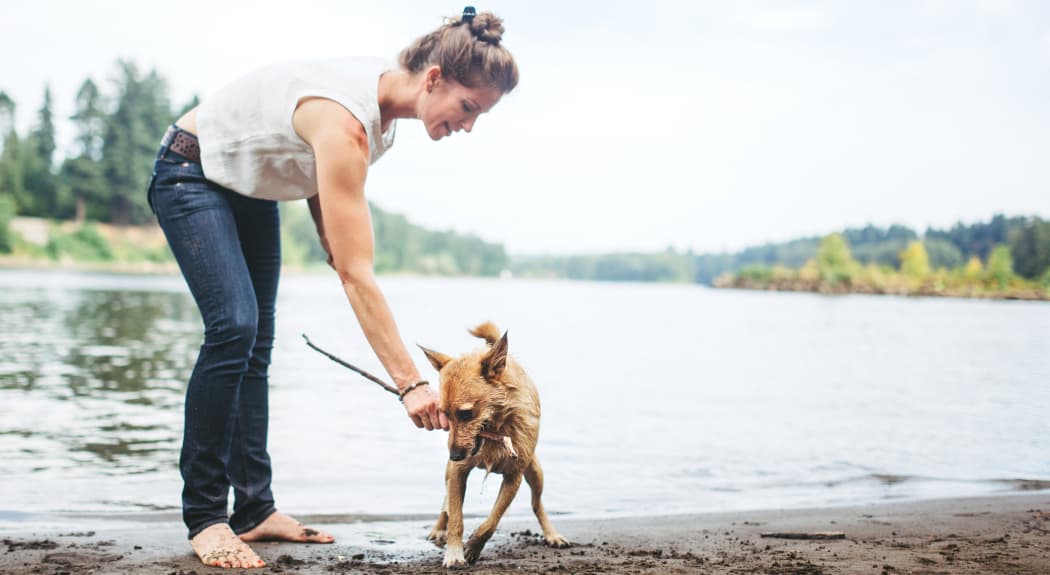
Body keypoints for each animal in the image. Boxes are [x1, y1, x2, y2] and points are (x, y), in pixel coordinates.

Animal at [417, 321, 571, 566]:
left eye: (466, 414)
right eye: (444, 414)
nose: (454, 455)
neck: (496, 431)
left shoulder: (513, 477)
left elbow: (492, 521)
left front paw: (473, 546)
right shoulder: (458, 473)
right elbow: (456, 518)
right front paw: (454, 553)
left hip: (536, 473)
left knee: (537, 504)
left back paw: (551, 534)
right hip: (448, 473)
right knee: (445, 503)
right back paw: (438, 529)